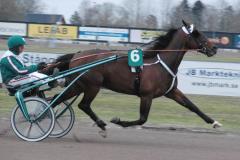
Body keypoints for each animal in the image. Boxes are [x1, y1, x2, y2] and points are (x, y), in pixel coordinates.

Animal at [48, 20, 221, 132]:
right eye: (196, 34)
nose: (214, 48)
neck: (161, 63)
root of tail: (76, 55)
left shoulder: (172, 92)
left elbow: (193, 106)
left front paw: (214, 122)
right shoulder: (146, 95)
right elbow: (143, 118)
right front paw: (119, 121)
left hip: (78, 85)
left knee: (58, 98)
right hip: (92, 86)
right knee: (83, 105)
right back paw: (100, 123)